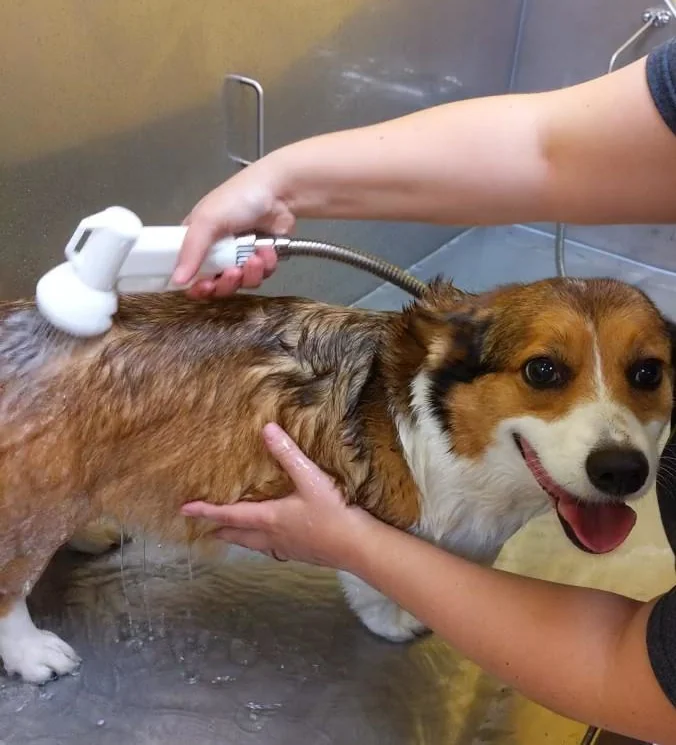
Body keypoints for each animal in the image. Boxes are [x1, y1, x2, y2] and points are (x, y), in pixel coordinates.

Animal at [1, 276, 676, 684]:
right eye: (542, 370)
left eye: (648, 372)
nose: (621, 470)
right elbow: (373, 585)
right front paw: (394, 621)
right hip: (35, 500)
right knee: (10, 584)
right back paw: (33, 653)